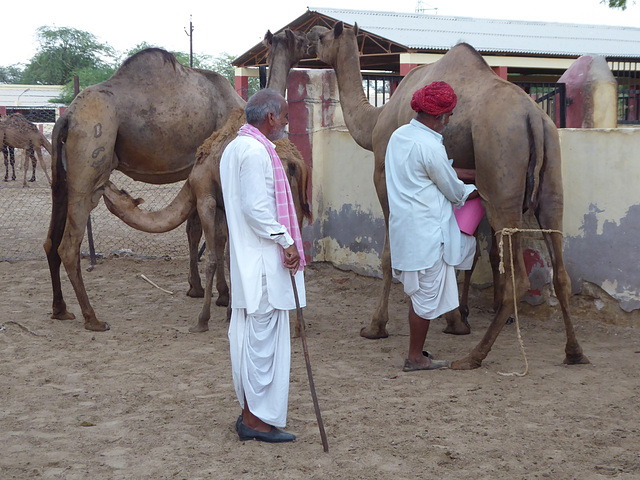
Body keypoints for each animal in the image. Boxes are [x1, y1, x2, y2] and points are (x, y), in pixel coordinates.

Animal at [43, 31, 308, 334]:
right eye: (296, 38)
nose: (310, 41)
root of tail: (67, 115)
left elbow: (197, 232)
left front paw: (199, 289)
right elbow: (217, 238)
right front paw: (221, 296)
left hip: (61, 174)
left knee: (51, 240)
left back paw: (60, 309)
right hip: (90, 164)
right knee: (68, 244)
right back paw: (93, 318)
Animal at [306, 22, 592, 370]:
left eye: (324, 36)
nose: (309, 35)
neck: (374, 120)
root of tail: (533, 117)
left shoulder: (383, 172)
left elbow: (389, 254)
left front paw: (376, 326)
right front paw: (454, 319)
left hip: (501, 173)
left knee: (518, 277)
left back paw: (473, 356)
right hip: (551, 178)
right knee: (560, 271)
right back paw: (574, 351)